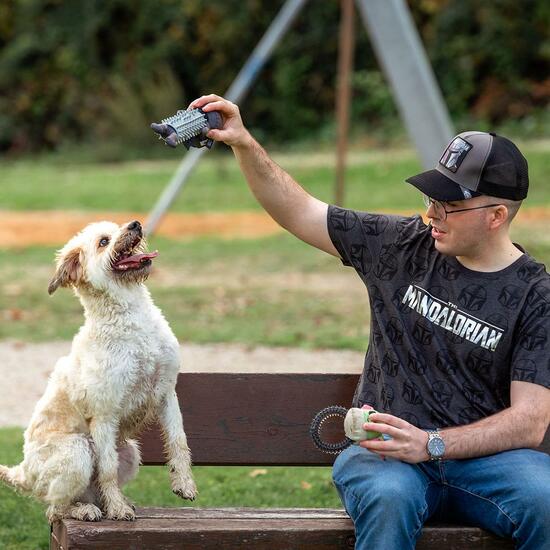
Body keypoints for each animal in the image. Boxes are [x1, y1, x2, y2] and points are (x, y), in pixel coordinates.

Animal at [0, 220, 197, 520]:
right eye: (104, 242)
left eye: (116, 228)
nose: (135, 224)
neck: (131, 317)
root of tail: (23, 472)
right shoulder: (104, 414)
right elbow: (107, 469)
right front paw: (117, 509)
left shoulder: (166, 392)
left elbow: (178, 440)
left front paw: (184, 484)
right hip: (77, 451)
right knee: (55, 508)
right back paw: (85, 511)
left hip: (130, 451)